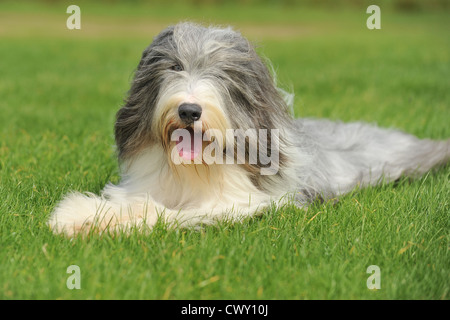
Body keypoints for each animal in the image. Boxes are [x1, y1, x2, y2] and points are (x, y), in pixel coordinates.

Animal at [47, 21, 448, 235]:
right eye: (175, 67)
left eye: (222, 75)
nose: (189, 110)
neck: (196, 171)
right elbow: (130, 199)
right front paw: (78, 215)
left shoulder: (243, 203)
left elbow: (165, 213)